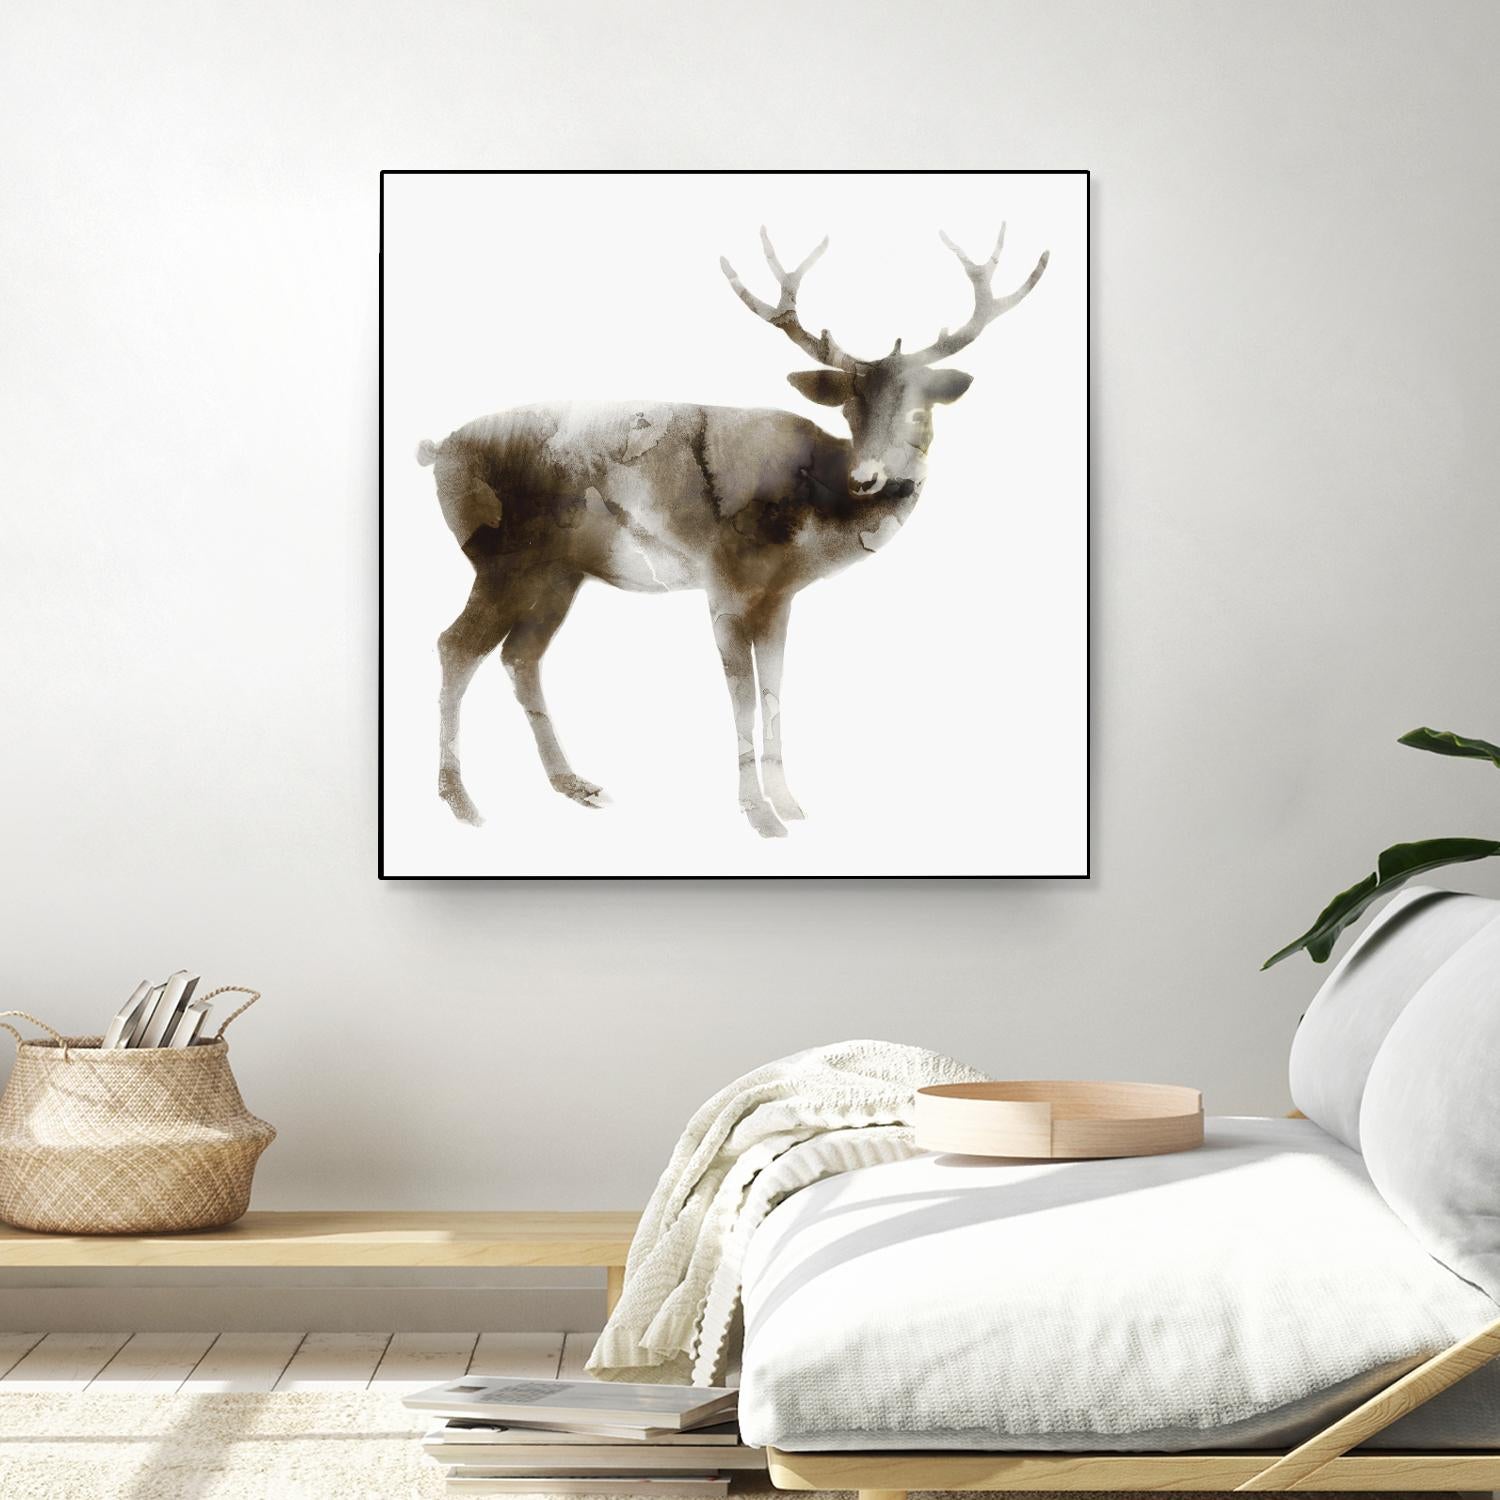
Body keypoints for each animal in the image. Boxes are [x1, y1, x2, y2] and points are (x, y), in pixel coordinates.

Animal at [417, 225, 1048, 838]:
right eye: (848, 410)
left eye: (920, 411)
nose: (868, 478)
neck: (811, 520)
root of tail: (437, 451)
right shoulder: (723, 584)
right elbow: (741, 696)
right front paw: (759, 815)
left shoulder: (779, 597)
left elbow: (773, 690)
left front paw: (789, 803)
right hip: (500, 561)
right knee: (455, 645)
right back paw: (461, 802)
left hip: (557, 574)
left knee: (520, 656)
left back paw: (574, 784)